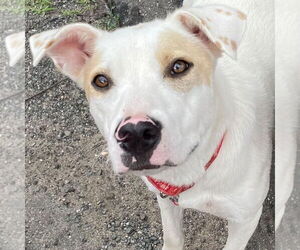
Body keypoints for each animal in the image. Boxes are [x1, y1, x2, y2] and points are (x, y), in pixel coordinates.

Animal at [6, 0, 276, 249]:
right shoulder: (166, 199)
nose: (135, 133)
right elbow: (173, 238)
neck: (193, 167)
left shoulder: (245, 218)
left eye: (179, 66)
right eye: (100, 81)